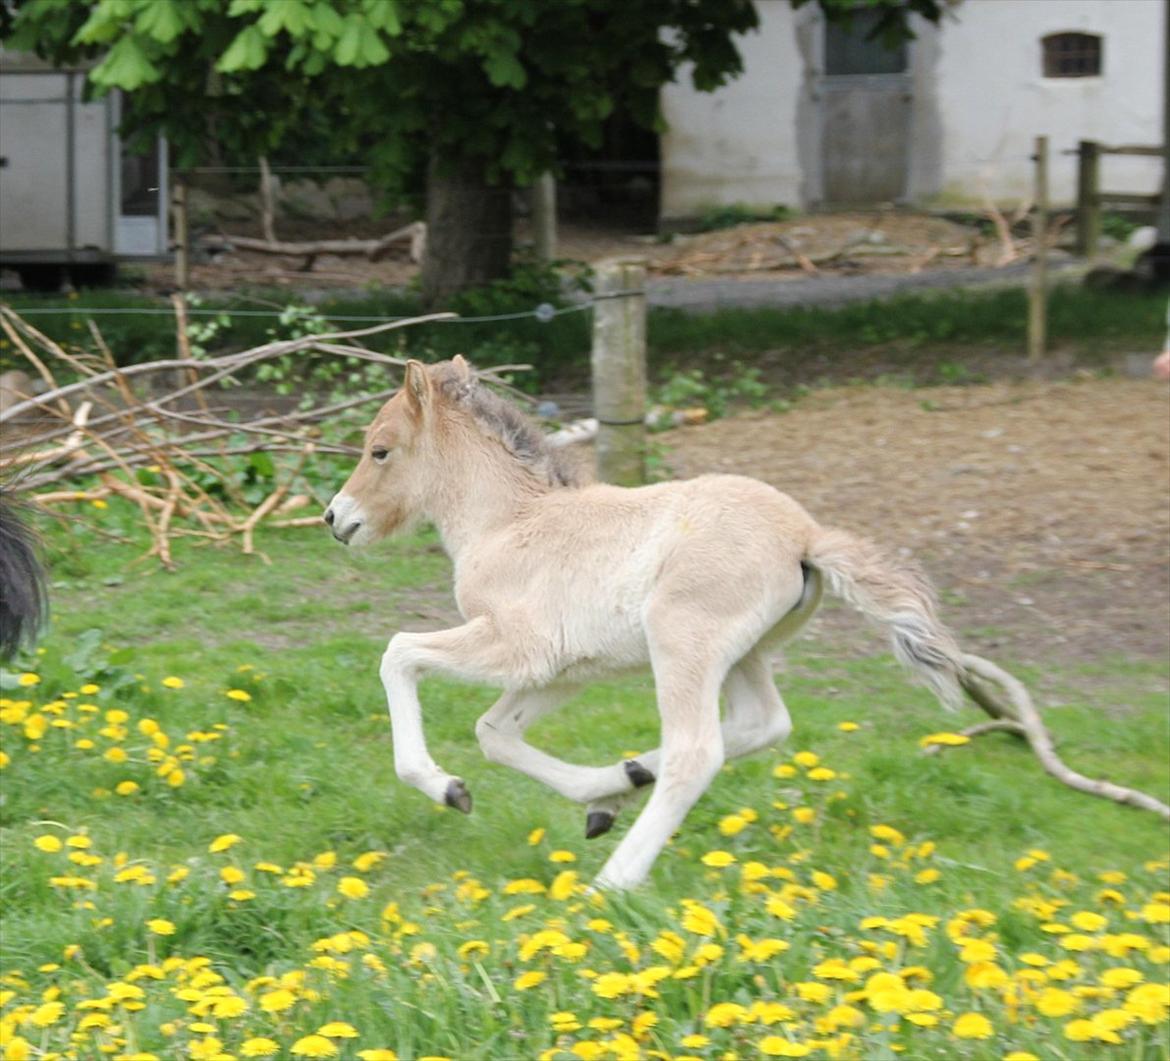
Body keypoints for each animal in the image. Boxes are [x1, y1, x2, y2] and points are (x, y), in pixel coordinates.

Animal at [325, 360, 964, 893]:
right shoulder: (564, 670)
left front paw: (445, 787)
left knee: (697, 753)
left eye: (380, 451)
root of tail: (806, 535)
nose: (335, 517)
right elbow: (494, 733)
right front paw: (600, 795)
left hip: (682, 643)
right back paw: (630, 778)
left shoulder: (520, 647)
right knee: (762, 722)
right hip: (744, 654)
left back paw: (612, 882)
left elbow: (399, 653)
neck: (507, 523)